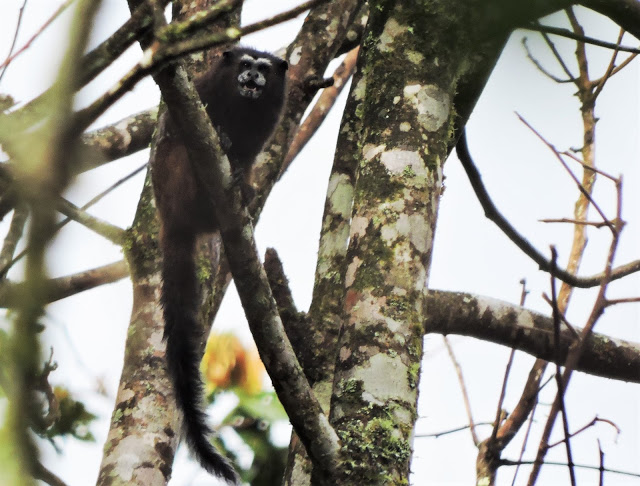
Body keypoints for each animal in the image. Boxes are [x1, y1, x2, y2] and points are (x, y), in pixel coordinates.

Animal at [152, 46, 288, 482]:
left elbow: (251, 150)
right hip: (176, 178)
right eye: (244, 65)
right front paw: (224, 139)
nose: (252, 77)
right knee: (183, 151)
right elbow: (178, 126)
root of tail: (170, 216)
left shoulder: (269, 120)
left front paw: (242, 170)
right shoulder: (202, 91)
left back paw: (240, 186)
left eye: (263, 69)